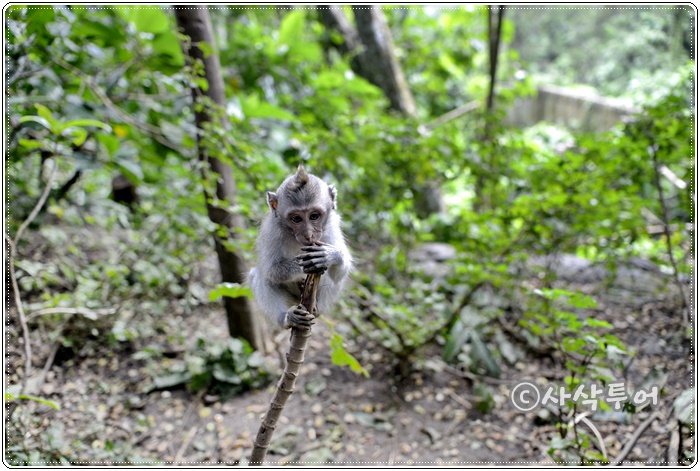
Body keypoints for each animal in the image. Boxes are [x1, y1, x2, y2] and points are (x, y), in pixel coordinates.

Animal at [248, 166, 353, 330]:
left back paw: (316, 308)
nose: (309, 234)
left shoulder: (332, 225)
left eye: (314, 216)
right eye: (296, 219)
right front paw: (302, 263)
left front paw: (331, 255)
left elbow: (340, 273)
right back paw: (287, 317)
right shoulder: (272, 231)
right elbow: (271, 271)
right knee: (259, 276)